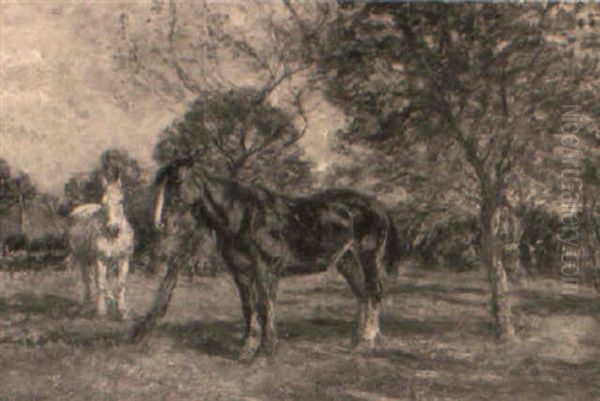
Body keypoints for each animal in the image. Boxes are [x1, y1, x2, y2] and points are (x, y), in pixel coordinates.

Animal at [67, 177, 134, 318]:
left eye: (121, 201)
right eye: (103, 203)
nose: (113, 228)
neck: (114, 237)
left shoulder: (124, 259)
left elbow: (121, 284)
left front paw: (122, 310)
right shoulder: (100, 259)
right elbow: (100, 283)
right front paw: (101, 311)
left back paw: (109, 299)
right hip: (83, 258)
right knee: (88, 279)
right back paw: (88, 303)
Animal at [133, 156, 400, 360]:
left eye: (178, 181)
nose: (163, 223)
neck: (242, 214)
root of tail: (377, 205)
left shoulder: (265, 269)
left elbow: (265, 306)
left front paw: (266, 350)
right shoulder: (241, 273)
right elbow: (249, 308)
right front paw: (246, 348)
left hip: (368, 256)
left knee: (374, 292)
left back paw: (367, 341)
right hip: (347, 261)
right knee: (363, 294)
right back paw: (357, 340)